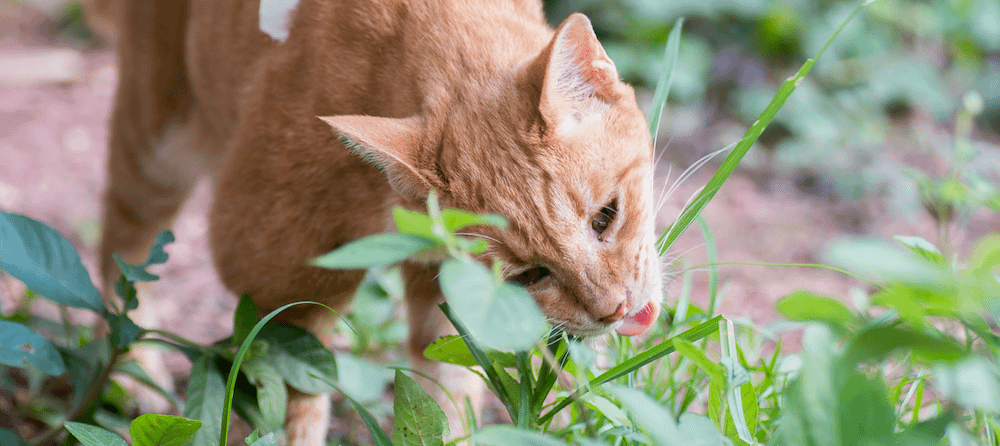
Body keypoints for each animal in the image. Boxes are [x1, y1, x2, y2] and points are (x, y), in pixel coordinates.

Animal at [97, 1, 664, 444]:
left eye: (605, 216)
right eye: (528, 276)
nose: (615, 311)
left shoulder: (448, 298)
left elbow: (445, 394)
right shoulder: (278, 274)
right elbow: (298, 398)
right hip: (159, 146)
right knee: (120, 252)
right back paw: (130, 370)